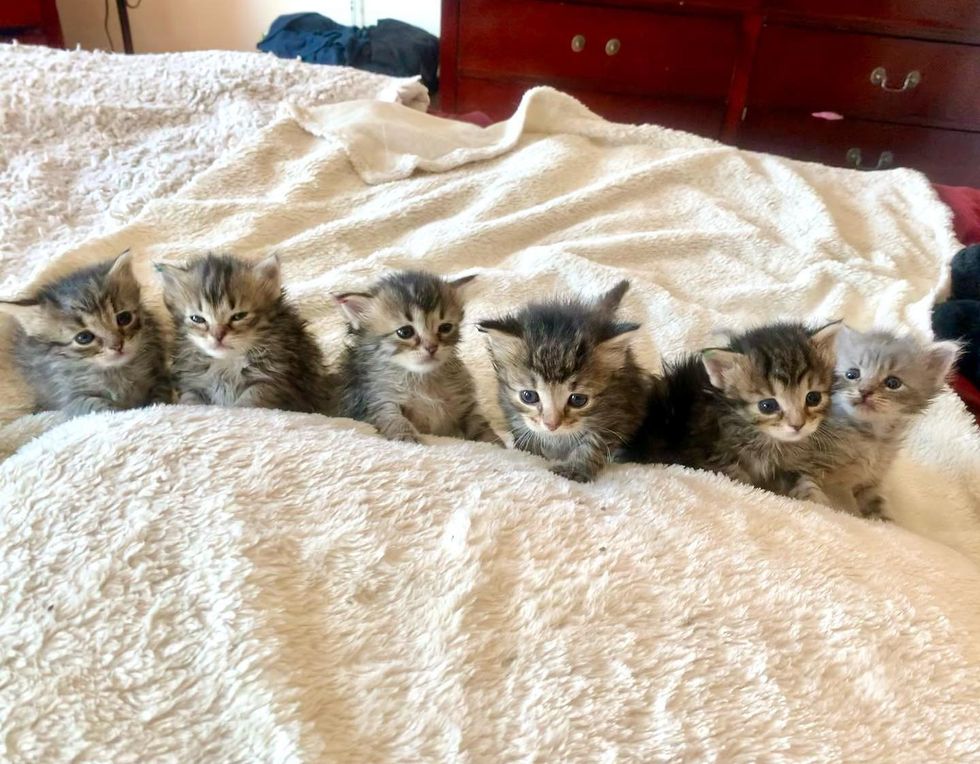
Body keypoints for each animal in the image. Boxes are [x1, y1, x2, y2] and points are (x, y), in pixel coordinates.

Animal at [0, 251, 168, 418]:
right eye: (84, 338)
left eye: (124, 318)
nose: (117, 345)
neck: (117, 371)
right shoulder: (69, 396)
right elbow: (99, 407)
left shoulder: (158, 370)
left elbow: (162, 392)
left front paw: (157, 402)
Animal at [158, 254, 330, 412]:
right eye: (197, 319)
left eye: (239, 316)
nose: (218, 336)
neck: (226, 363)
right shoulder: (192, 382)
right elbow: (190, 400)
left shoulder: (276, 380)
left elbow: (250, 404)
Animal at [334, 272, 502, 444]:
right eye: (405, 332)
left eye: (445, 327)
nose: (431, 347)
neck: (422, 378)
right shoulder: (378, 399)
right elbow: (393, 419)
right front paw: (406, 437)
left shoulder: (465, 403)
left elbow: (480, 424)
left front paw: (494, 442)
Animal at [476, 280, 648, 484]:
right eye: (528, 396)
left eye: (578, 400)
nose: (552, 425)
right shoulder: (509, 406)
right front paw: (529, 451)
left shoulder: (617, 411)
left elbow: (594, 442)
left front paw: (575, 468)